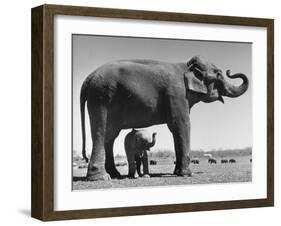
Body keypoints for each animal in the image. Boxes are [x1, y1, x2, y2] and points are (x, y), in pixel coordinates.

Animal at [80, 55, 248, 181]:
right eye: (218, 74)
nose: (229, 70)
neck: (186, 66)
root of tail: (88, 78)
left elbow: (175, 129)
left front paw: (177, 173)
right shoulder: (177, 94)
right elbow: (182, 124)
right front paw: (187, 174)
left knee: (110, 135)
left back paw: (115, 175)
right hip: (100, 97)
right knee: (100, 132)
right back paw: (101, 178)